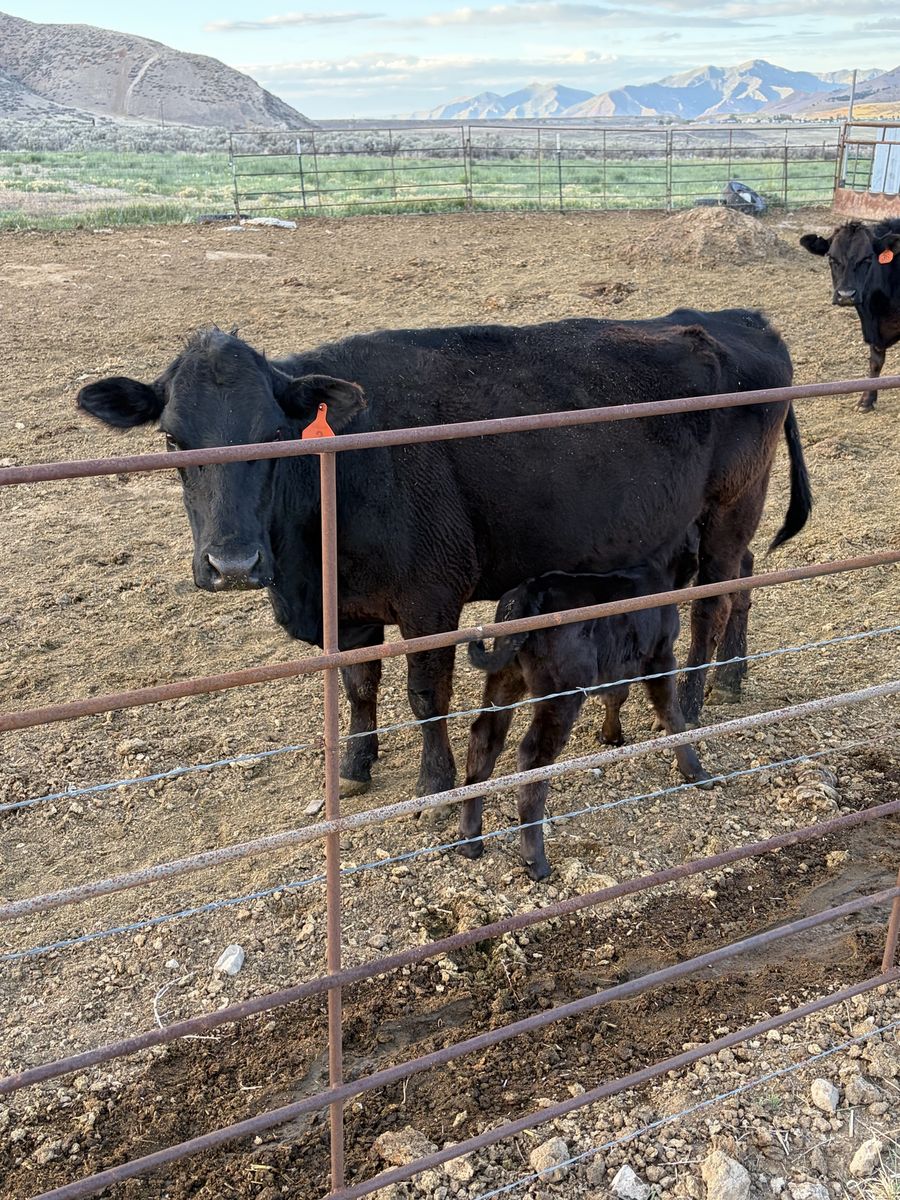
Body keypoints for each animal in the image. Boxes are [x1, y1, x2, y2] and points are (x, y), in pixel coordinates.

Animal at [76, 310, 811, 806]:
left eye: (276, 435)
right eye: (173, 440)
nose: (232, 565)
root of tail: (735, 319)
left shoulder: (430, 595)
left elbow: (425, 693)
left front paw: (435, 783)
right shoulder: (351, 606)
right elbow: (359, 686)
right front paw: (356, 764)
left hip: (730, 509)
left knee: (711, 604)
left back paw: (691, 702)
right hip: (694, 530)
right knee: (742, 580)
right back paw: (732, 676)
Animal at [462, 531, 709, 880]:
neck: (658, 570)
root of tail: (525, 594)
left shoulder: (618, 661)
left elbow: (616, 695)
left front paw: (611, 736)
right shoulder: (660, 654)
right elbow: (670, 712)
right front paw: (695, 770)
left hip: (505, 676)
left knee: (485, 736)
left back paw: (470, 839)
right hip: (562, 689)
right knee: (533, 755)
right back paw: (535, 860)